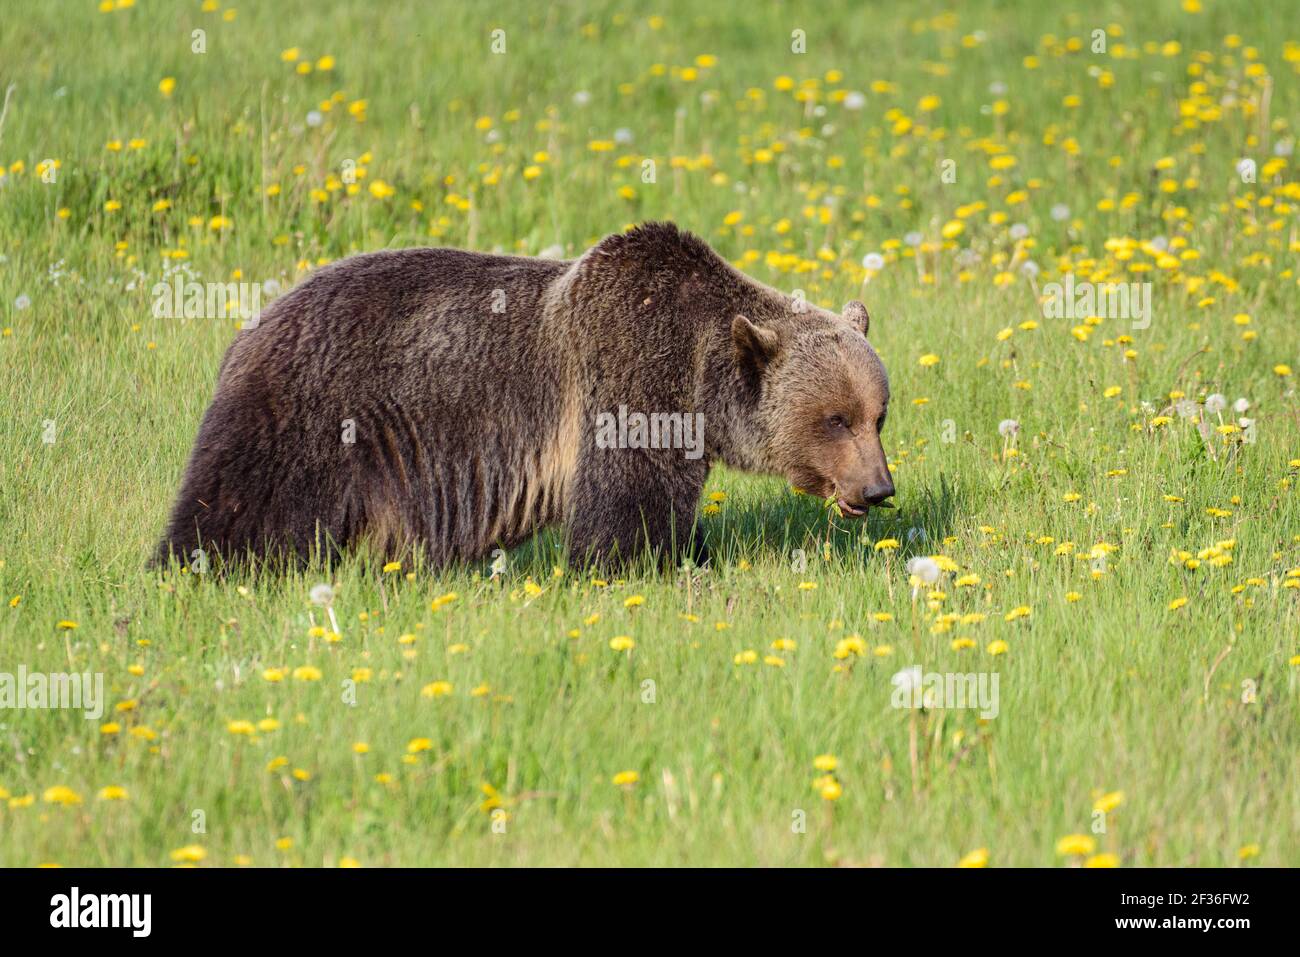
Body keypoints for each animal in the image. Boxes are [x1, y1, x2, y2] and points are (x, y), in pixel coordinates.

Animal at [154, 222, 893, 571]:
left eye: (878, 415)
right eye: (835, 419)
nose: (879, 488)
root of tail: (250, 326)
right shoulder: (627, 378)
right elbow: (625, 506)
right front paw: (644, 564)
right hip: (307, 415)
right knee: (241, 504)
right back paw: (196, 564)